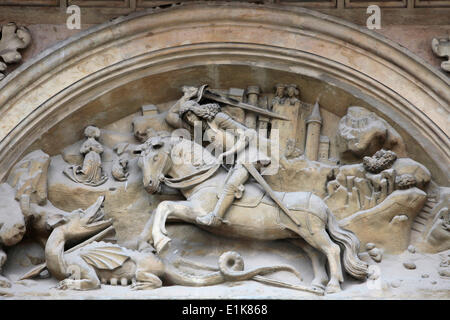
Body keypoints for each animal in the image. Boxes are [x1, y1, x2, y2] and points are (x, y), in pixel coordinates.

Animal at [137, 134, 370, 294]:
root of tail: (323, 205)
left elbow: (164, 205)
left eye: (155, 157)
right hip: (299, 237)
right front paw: (146, 244)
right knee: (316, 255)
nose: (149, 185)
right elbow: (156, 213)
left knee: (332, 250)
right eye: (141, 162)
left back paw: (333, 286)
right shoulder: (189, 213)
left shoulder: (196, 212)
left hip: (314, 233)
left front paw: (161, 242)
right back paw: (317, 285)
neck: (203, 180)